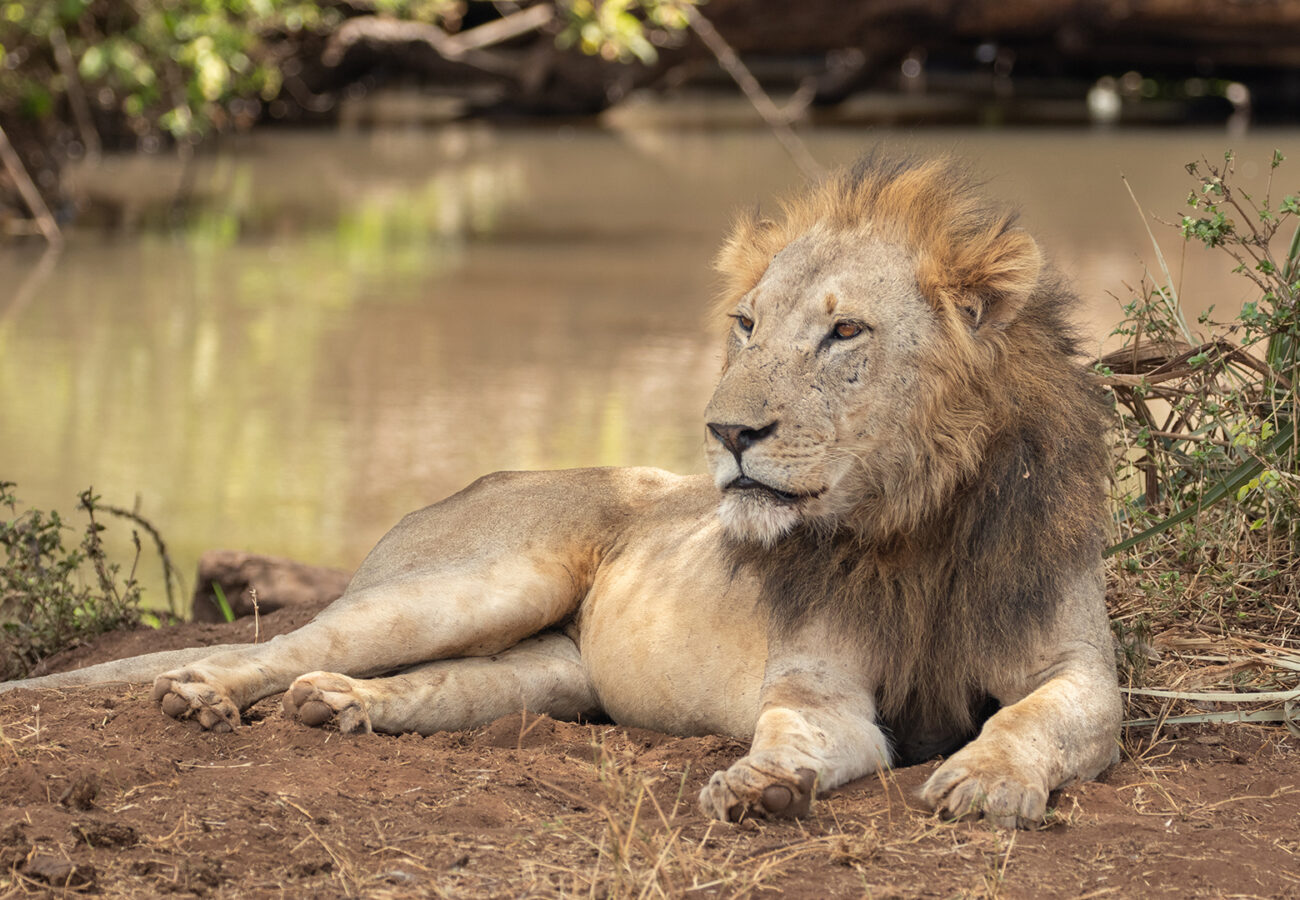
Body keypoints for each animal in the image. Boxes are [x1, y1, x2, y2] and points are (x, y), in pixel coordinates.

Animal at [2, 152, 1121, 827]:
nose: (726, 433)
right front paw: (762, 785)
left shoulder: (1082, 674)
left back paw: (343, 708)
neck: (911, 522)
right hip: (481, 580)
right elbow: (801, 729)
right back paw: (208, 692)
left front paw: (984, 780)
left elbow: (1035, 720)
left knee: (441, 686)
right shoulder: (814, 683)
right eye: (747, 325)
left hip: (549, 674)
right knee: (283, 645)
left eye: (846, 331)